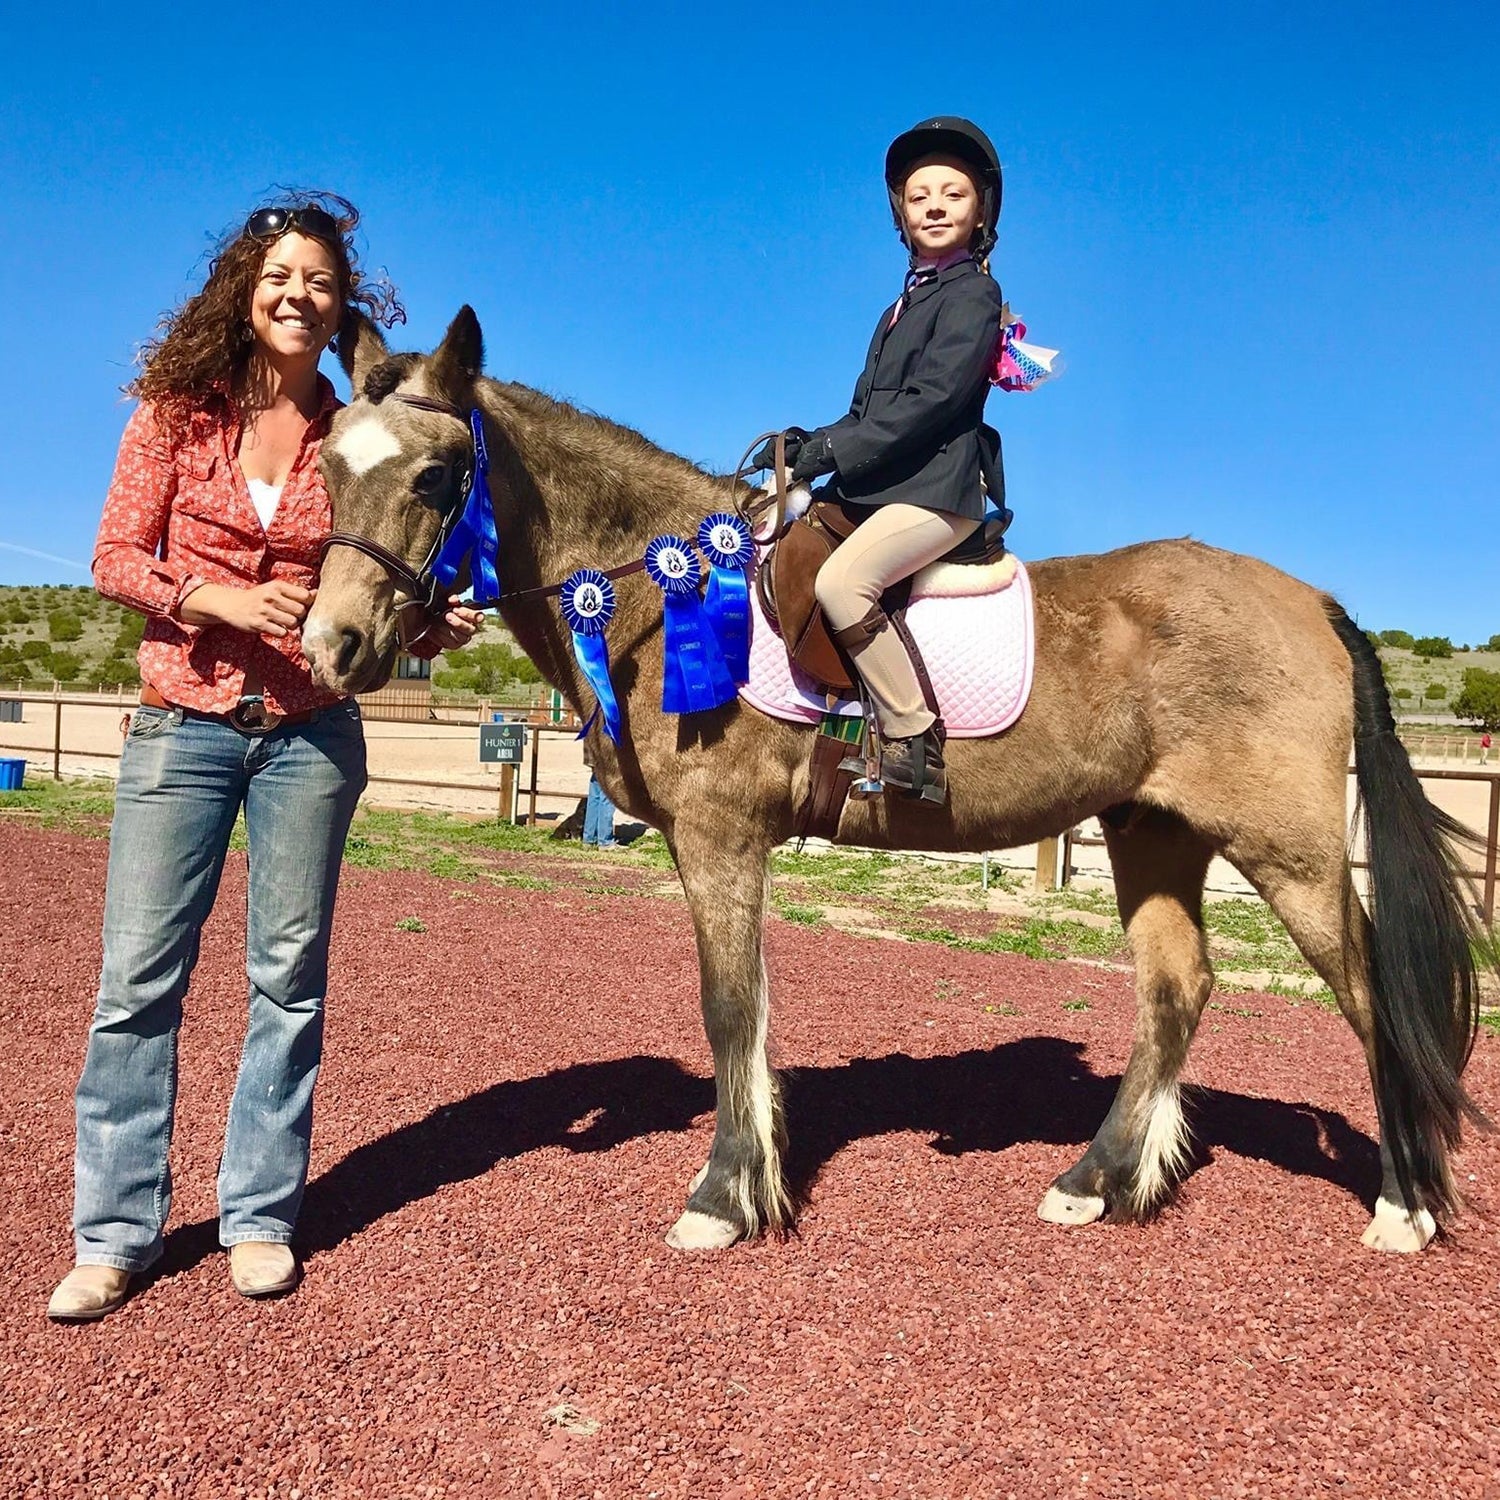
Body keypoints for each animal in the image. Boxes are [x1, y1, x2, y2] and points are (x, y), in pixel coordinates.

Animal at [303, 306, 1490, 1255]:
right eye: (326, 470)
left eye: (435, 476)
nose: (333, 646)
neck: (658, 586)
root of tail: (1312, 600)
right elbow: (745, 1012)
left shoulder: (721, 835)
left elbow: (730, 1008)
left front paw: (723, 1200)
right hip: (1154, 830)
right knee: (1175, 989)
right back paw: (1095, 1183)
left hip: (1286, 850)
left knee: (1369, 996)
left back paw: (1403, 1207)